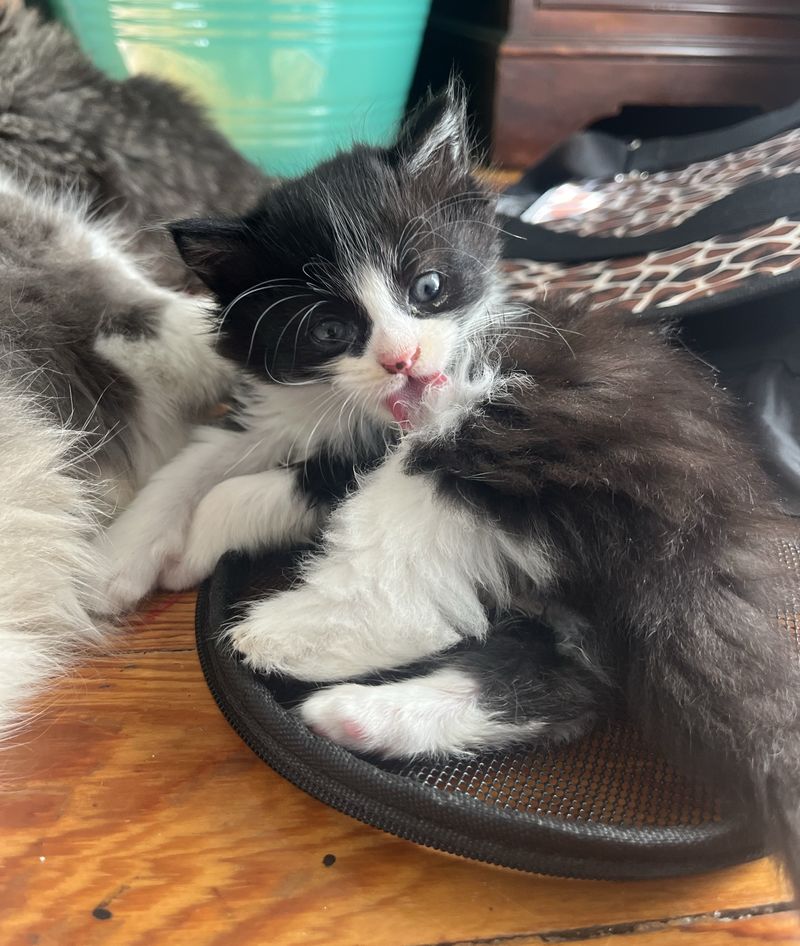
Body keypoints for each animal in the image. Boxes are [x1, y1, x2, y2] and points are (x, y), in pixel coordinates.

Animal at [98, 85, 500, 608]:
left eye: (428, 287)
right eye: (329, 331)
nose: (402, 359)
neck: (346, 407)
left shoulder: (380, 457)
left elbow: (248, 491)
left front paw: (191, 552)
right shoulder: (274, 407)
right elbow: (192, 461)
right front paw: (118, 556)